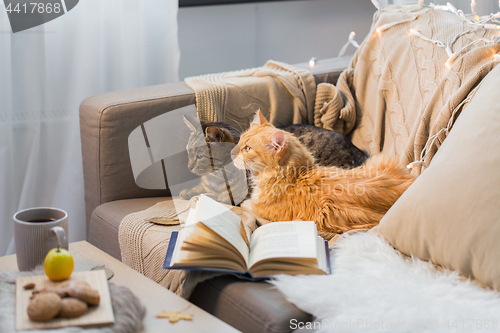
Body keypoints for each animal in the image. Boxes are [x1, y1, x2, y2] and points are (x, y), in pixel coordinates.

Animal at [232, 110, 416, 232]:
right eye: (239, 141)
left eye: (247, 149)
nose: (231, 153)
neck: (296, 175)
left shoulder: (262, 209)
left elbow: (246, 204)